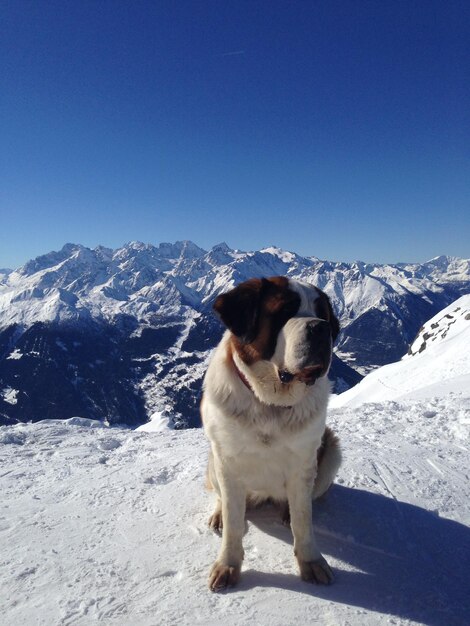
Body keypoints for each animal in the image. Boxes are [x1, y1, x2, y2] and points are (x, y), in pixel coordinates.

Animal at [201, 276, 342, 588]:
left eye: (322, 313)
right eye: (284, 310)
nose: (321, 328)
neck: (270, 404)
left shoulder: (304, 463)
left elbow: (304, 520)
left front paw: (311, 562)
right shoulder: (227, 461)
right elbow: (233, 522)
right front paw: (228, 565)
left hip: (331, 451)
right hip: (212, 460)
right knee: (221, 499)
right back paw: (218, 515)